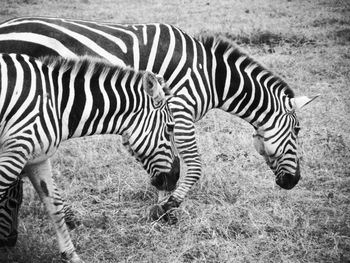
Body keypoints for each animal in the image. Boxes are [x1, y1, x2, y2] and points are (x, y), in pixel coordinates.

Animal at [0, 16, 318, 224]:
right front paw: (170, 206)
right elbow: (192, 165)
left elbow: (166, 163)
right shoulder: (180, 108)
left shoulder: (159, 115)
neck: (211, 75)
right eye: (298, 130)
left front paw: (163, 206)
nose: (293, 182)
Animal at [0, 53, 179, 262]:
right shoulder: (15, 152)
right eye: (170, 128)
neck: (57, 103)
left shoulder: (37, 157)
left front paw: (71, 255)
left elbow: (54, 206)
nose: (175, 177)